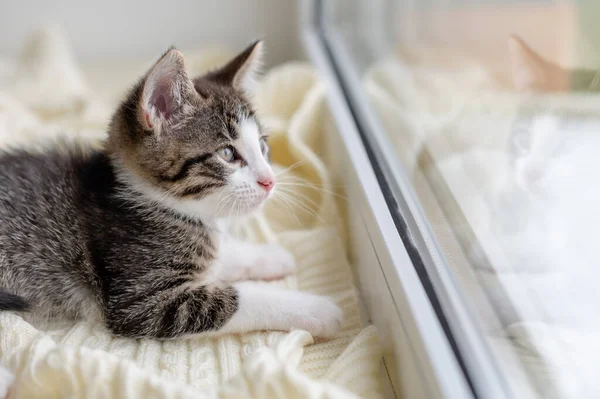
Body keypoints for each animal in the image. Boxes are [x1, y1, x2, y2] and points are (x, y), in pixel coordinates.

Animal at [0, 41, 342, 340]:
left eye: (262, 145)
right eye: (227, 153)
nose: (269, 181)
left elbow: (219, 254)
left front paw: (269, 256)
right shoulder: (143, 299)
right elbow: (237, 299)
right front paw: (316, 308)